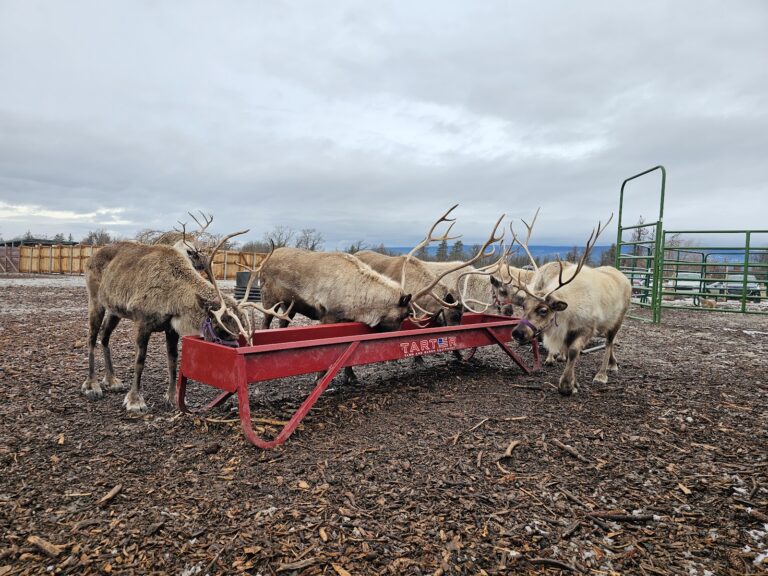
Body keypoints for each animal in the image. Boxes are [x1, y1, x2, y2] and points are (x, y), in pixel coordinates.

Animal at [82, 228, 289, 412]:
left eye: (238, 331)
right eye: (219, 328)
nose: (233, 354)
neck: (174, 292)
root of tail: (90, 258)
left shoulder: (171, 328)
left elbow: (173, 361)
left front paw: (172, 398)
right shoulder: (143, 322)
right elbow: (139, 361)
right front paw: (135, 401)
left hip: (114, 310)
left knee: (104, 337)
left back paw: (111, 380)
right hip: (95, 300)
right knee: (91, 338)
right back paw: (92, 385)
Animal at [496, 211, 631, 395]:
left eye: (543, 310)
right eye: (524, 306)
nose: (517, 333)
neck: (568, 314)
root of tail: (624, 276)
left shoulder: (587, 328)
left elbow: (574, 352)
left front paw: (567, 385)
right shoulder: (567, 332)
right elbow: (568, 352)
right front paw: (574, 382)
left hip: (619, 319)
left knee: (609, 342)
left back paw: (602, 374)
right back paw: (613, 363)